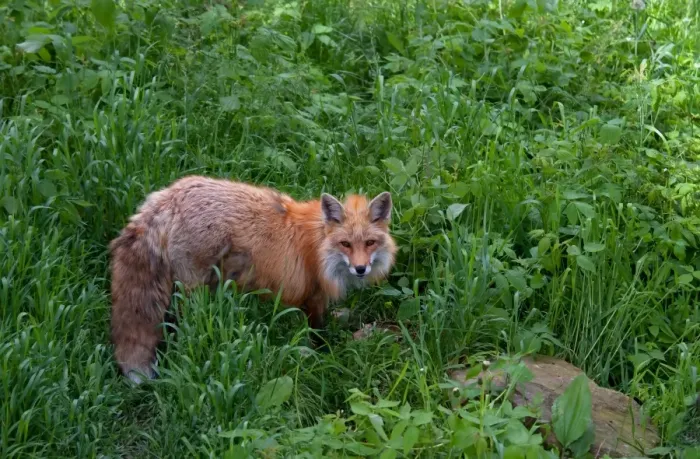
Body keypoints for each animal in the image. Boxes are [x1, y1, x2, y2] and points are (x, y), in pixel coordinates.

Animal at [109, 175, 397, 383]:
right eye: (345, 244)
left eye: (370, 243)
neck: (319, 246)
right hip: (194, 291)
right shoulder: (313, 295)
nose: (360, 269)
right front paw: (325, 354)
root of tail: (168, 198)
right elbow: (317, 332)